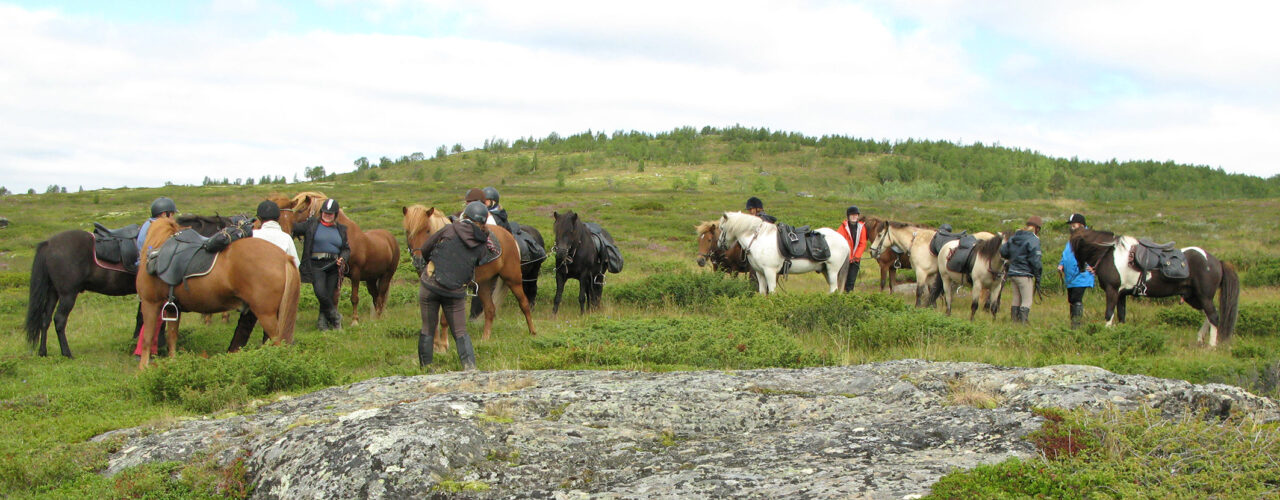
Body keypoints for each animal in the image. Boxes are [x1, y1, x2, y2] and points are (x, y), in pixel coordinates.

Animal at [135, 217, 302, 370]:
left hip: (266, 314)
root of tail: (284, 257)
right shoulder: (172, 308)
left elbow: (147, 339)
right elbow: (172, 337)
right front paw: (173, 364)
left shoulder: (150, 304)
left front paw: (142, 371)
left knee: (279, 342)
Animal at [273, 190, 399, 324]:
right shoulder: (340, 273)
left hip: (386, 275)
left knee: (381, 295)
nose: (288, 230)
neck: (350, 238)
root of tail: (391, 238)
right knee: (375, 295)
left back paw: (378, 318)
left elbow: (354, 298)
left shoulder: (356, 274)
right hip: (371, 278)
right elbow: (335, 297)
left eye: (300, 210)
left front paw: (355, 320)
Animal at [711, 210, 849, 294]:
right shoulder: (760, 273)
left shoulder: (770, 272)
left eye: (722, 228)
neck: (758, 238)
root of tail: (845, 242)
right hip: (826, 271)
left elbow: (771, 292)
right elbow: (762, 292)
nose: (720, 245)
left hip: (832, 271)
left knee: (834, 289)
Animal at [1070, 228, 1239, 347]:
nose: (1079, 268)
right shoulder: (1122, 295)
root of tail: (1216, 262)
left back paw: (1211, 346)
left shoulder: (1112, 291)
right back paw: (1200, 339)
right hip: (1194, 297)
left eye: (1073, 246)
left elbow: (1109, 314)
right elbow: (1121, 316)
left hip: (1204, 296)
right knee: (1208, 316)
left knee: (1214, 317)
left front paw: (1105, 335)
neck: (1110, 255)